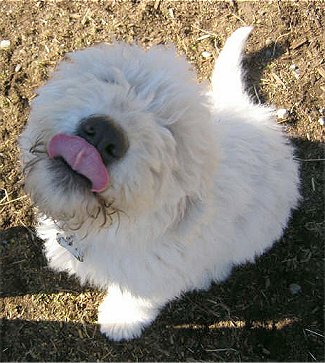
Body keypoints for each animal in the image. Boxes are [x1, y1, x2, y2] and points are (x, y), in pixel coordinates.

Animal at [19, 27, 298, 342]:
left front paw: (119, 321)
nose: (104, 134)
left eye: (170, 131)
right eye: (107, 78)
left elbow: (134, 300)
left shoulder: (153, 278)